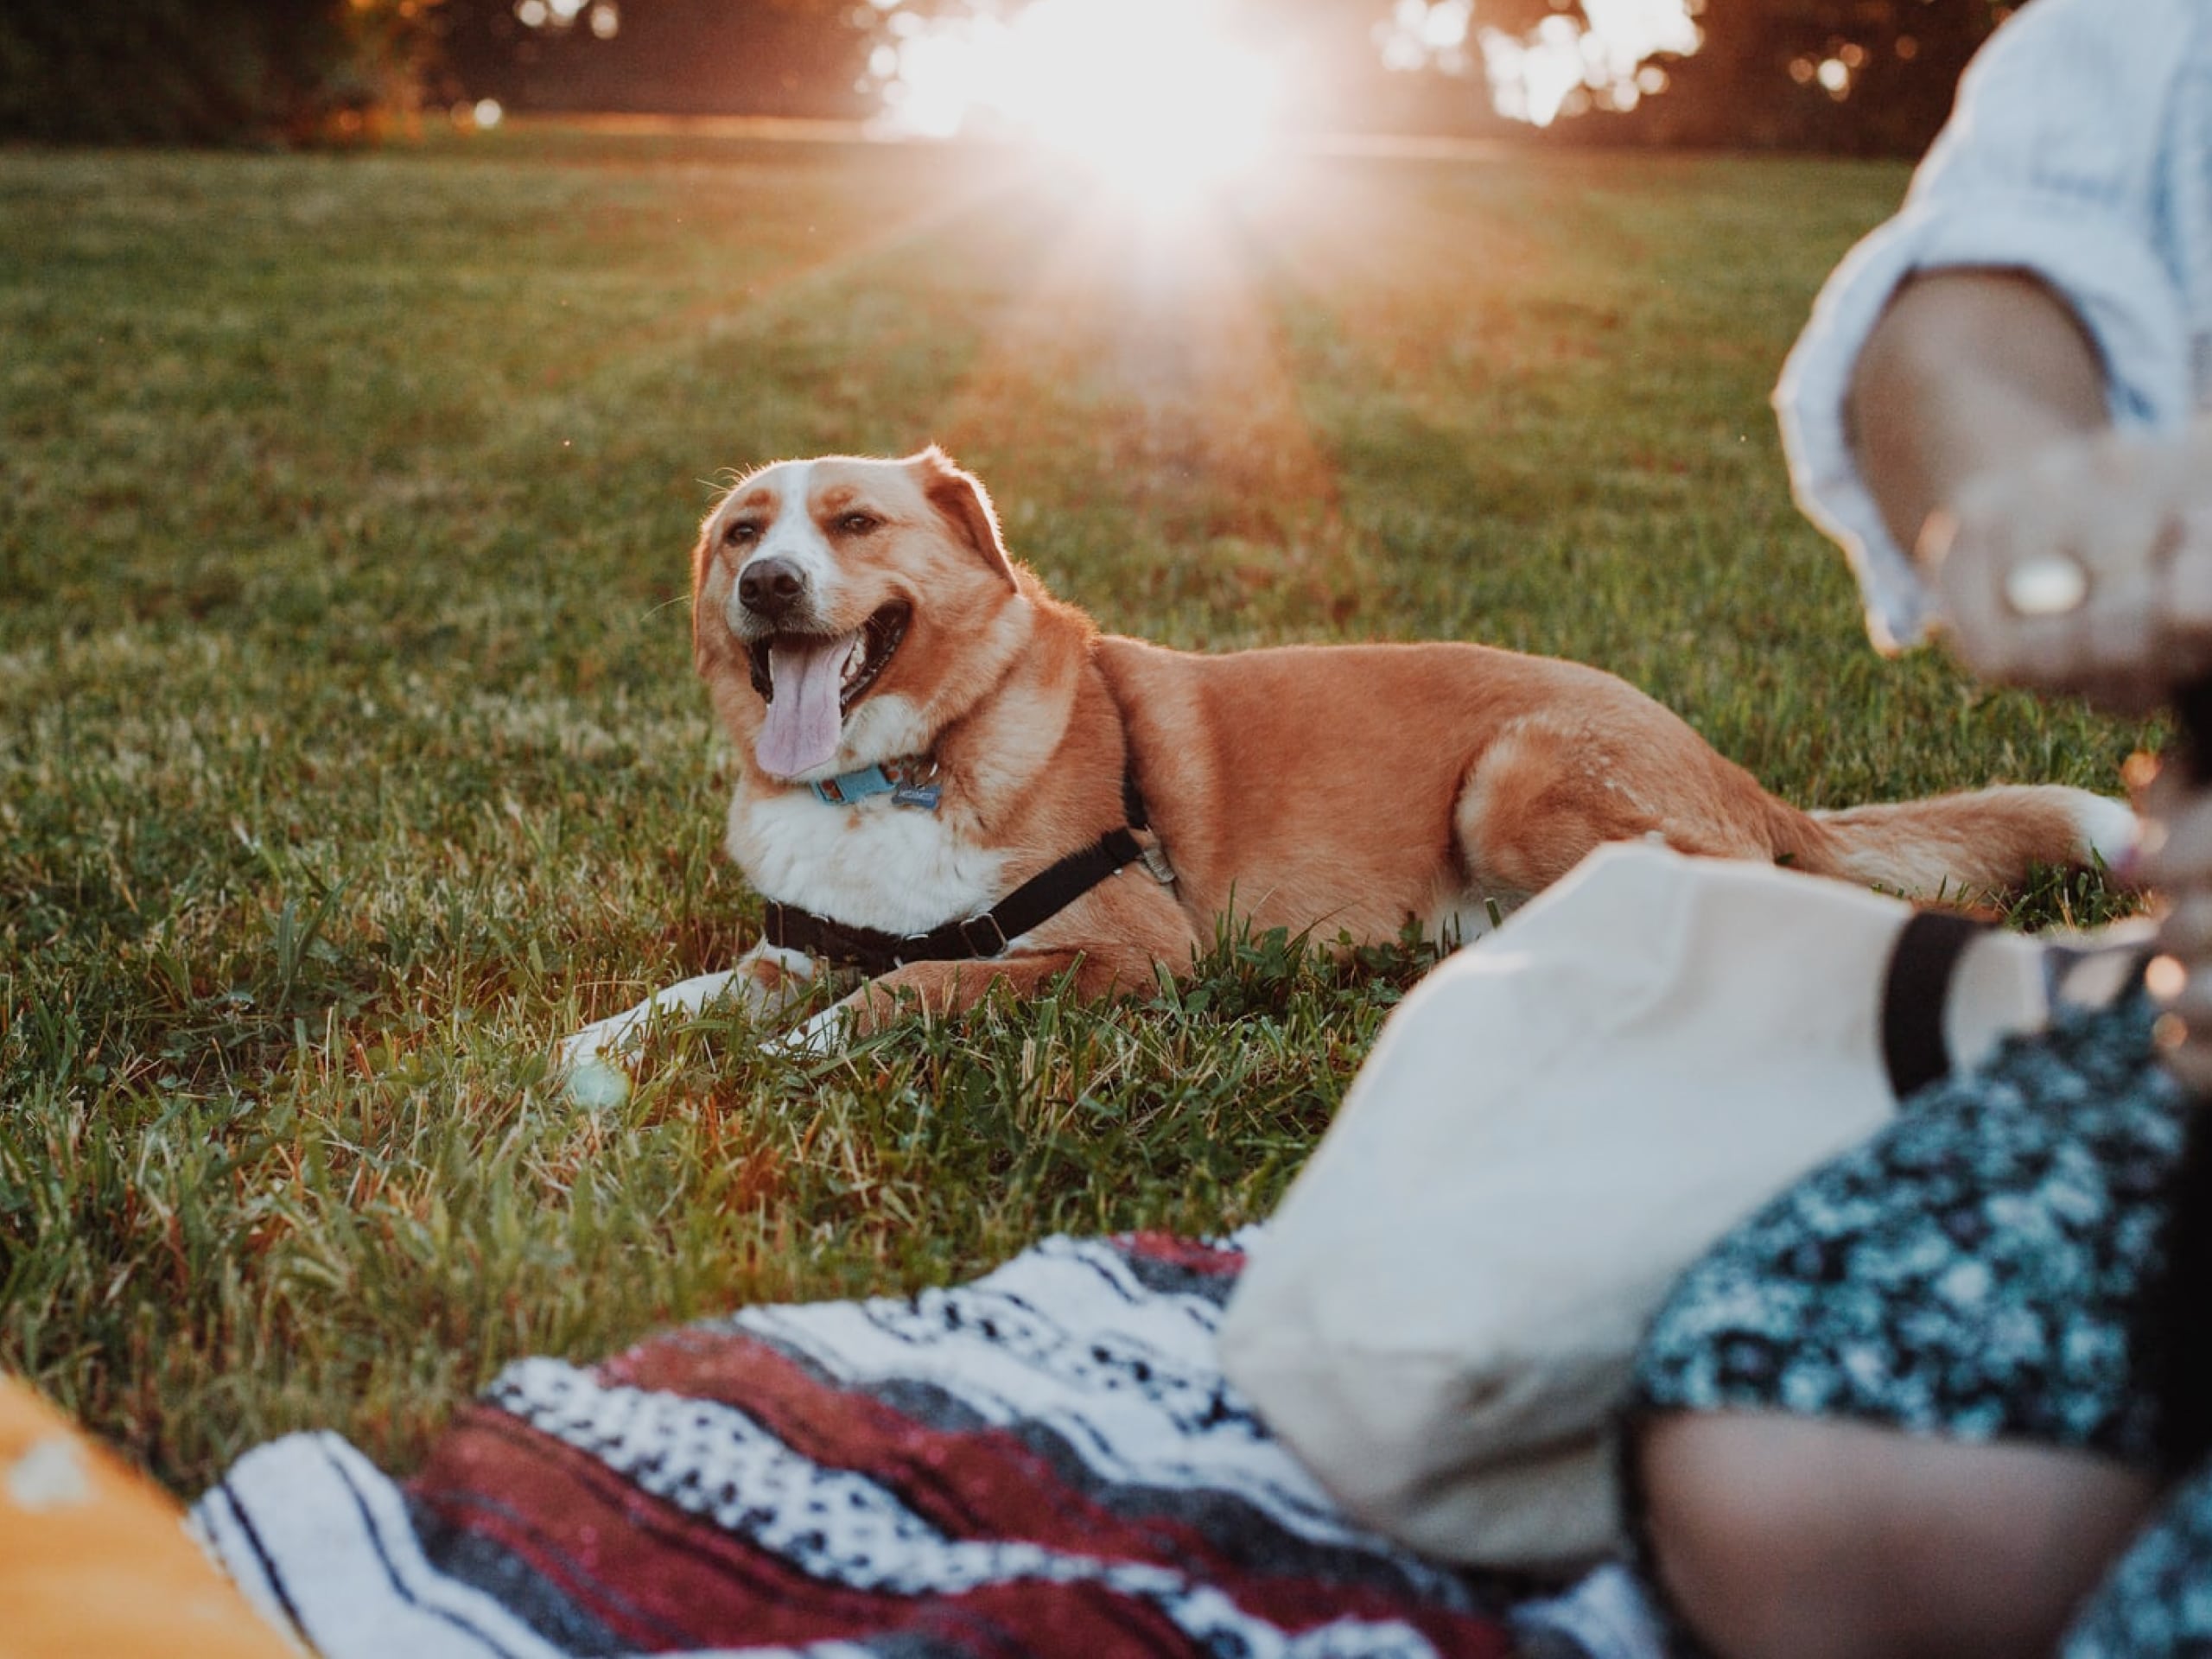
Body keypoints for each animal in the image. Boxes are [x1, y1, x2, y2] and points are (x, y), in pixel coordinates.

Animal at [562, 448, 2132, 1084]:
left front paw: (808, 1048)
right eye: (740, 530)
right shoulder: (796, 942)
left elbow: (923, 984)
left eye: (853, 522)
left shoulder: (1136, 953)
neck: (893, 773)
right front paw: (604, 1047)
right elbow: (696, 992)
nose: (766, 585)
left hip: (1518, 773)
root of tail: (1734, 767)